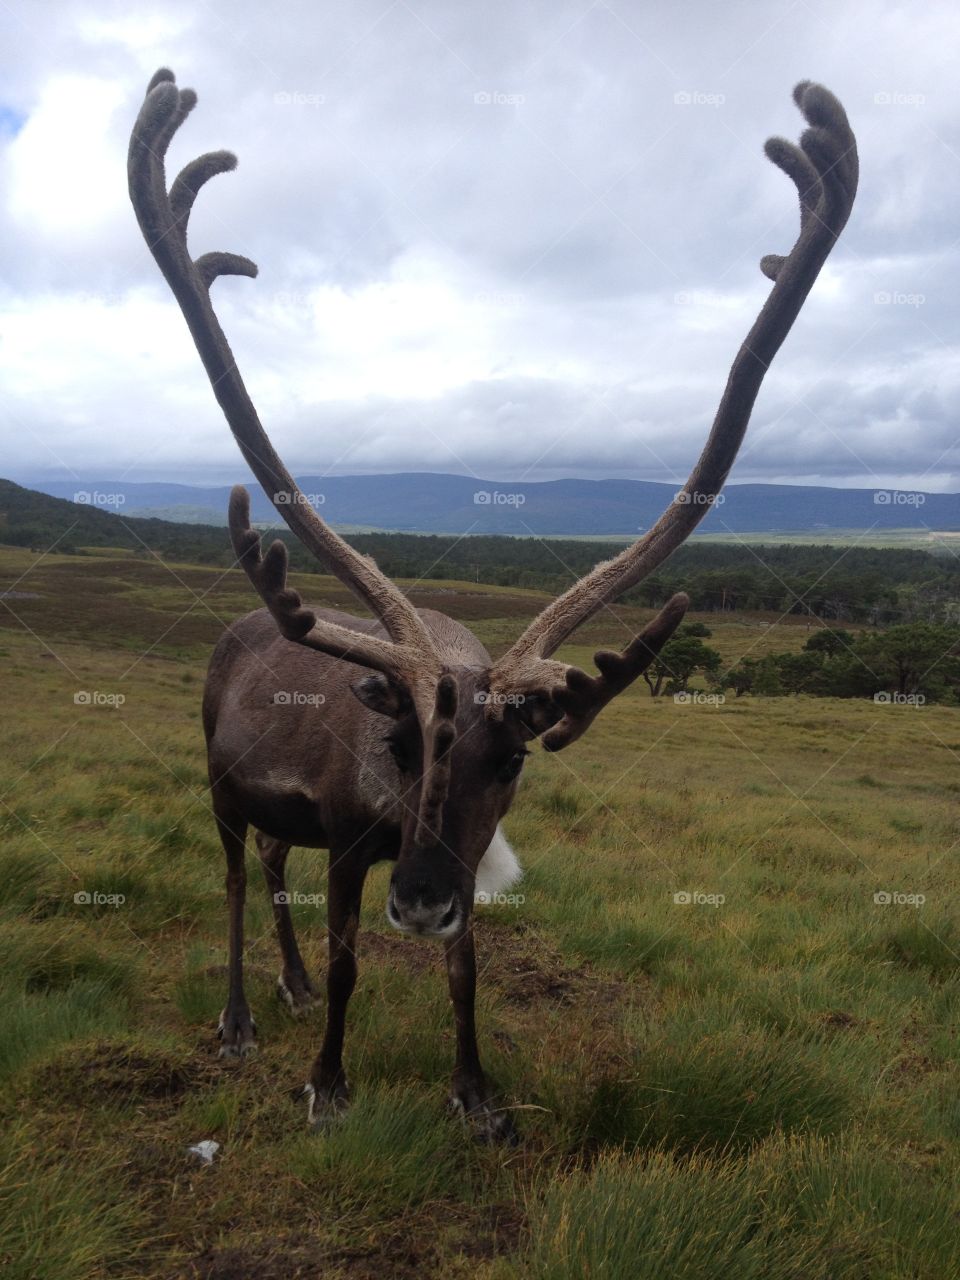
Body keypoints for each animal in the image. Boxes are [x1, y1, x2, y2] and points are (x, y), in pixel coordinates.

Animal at [128, 70, 857, 1141]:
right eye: (400, 744)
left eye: (510, 759)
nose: (423, 901)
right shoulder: (352, 845)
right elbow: (350, 964)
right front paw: (328, 1081)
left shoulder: (455, 856)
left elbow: (466, 973)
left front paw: (476, 1093)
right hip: (218, 789)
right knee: (228, 879)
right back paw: (240, 1017)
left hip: (278, 819)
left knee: (267, 864)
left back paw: (285, 984)